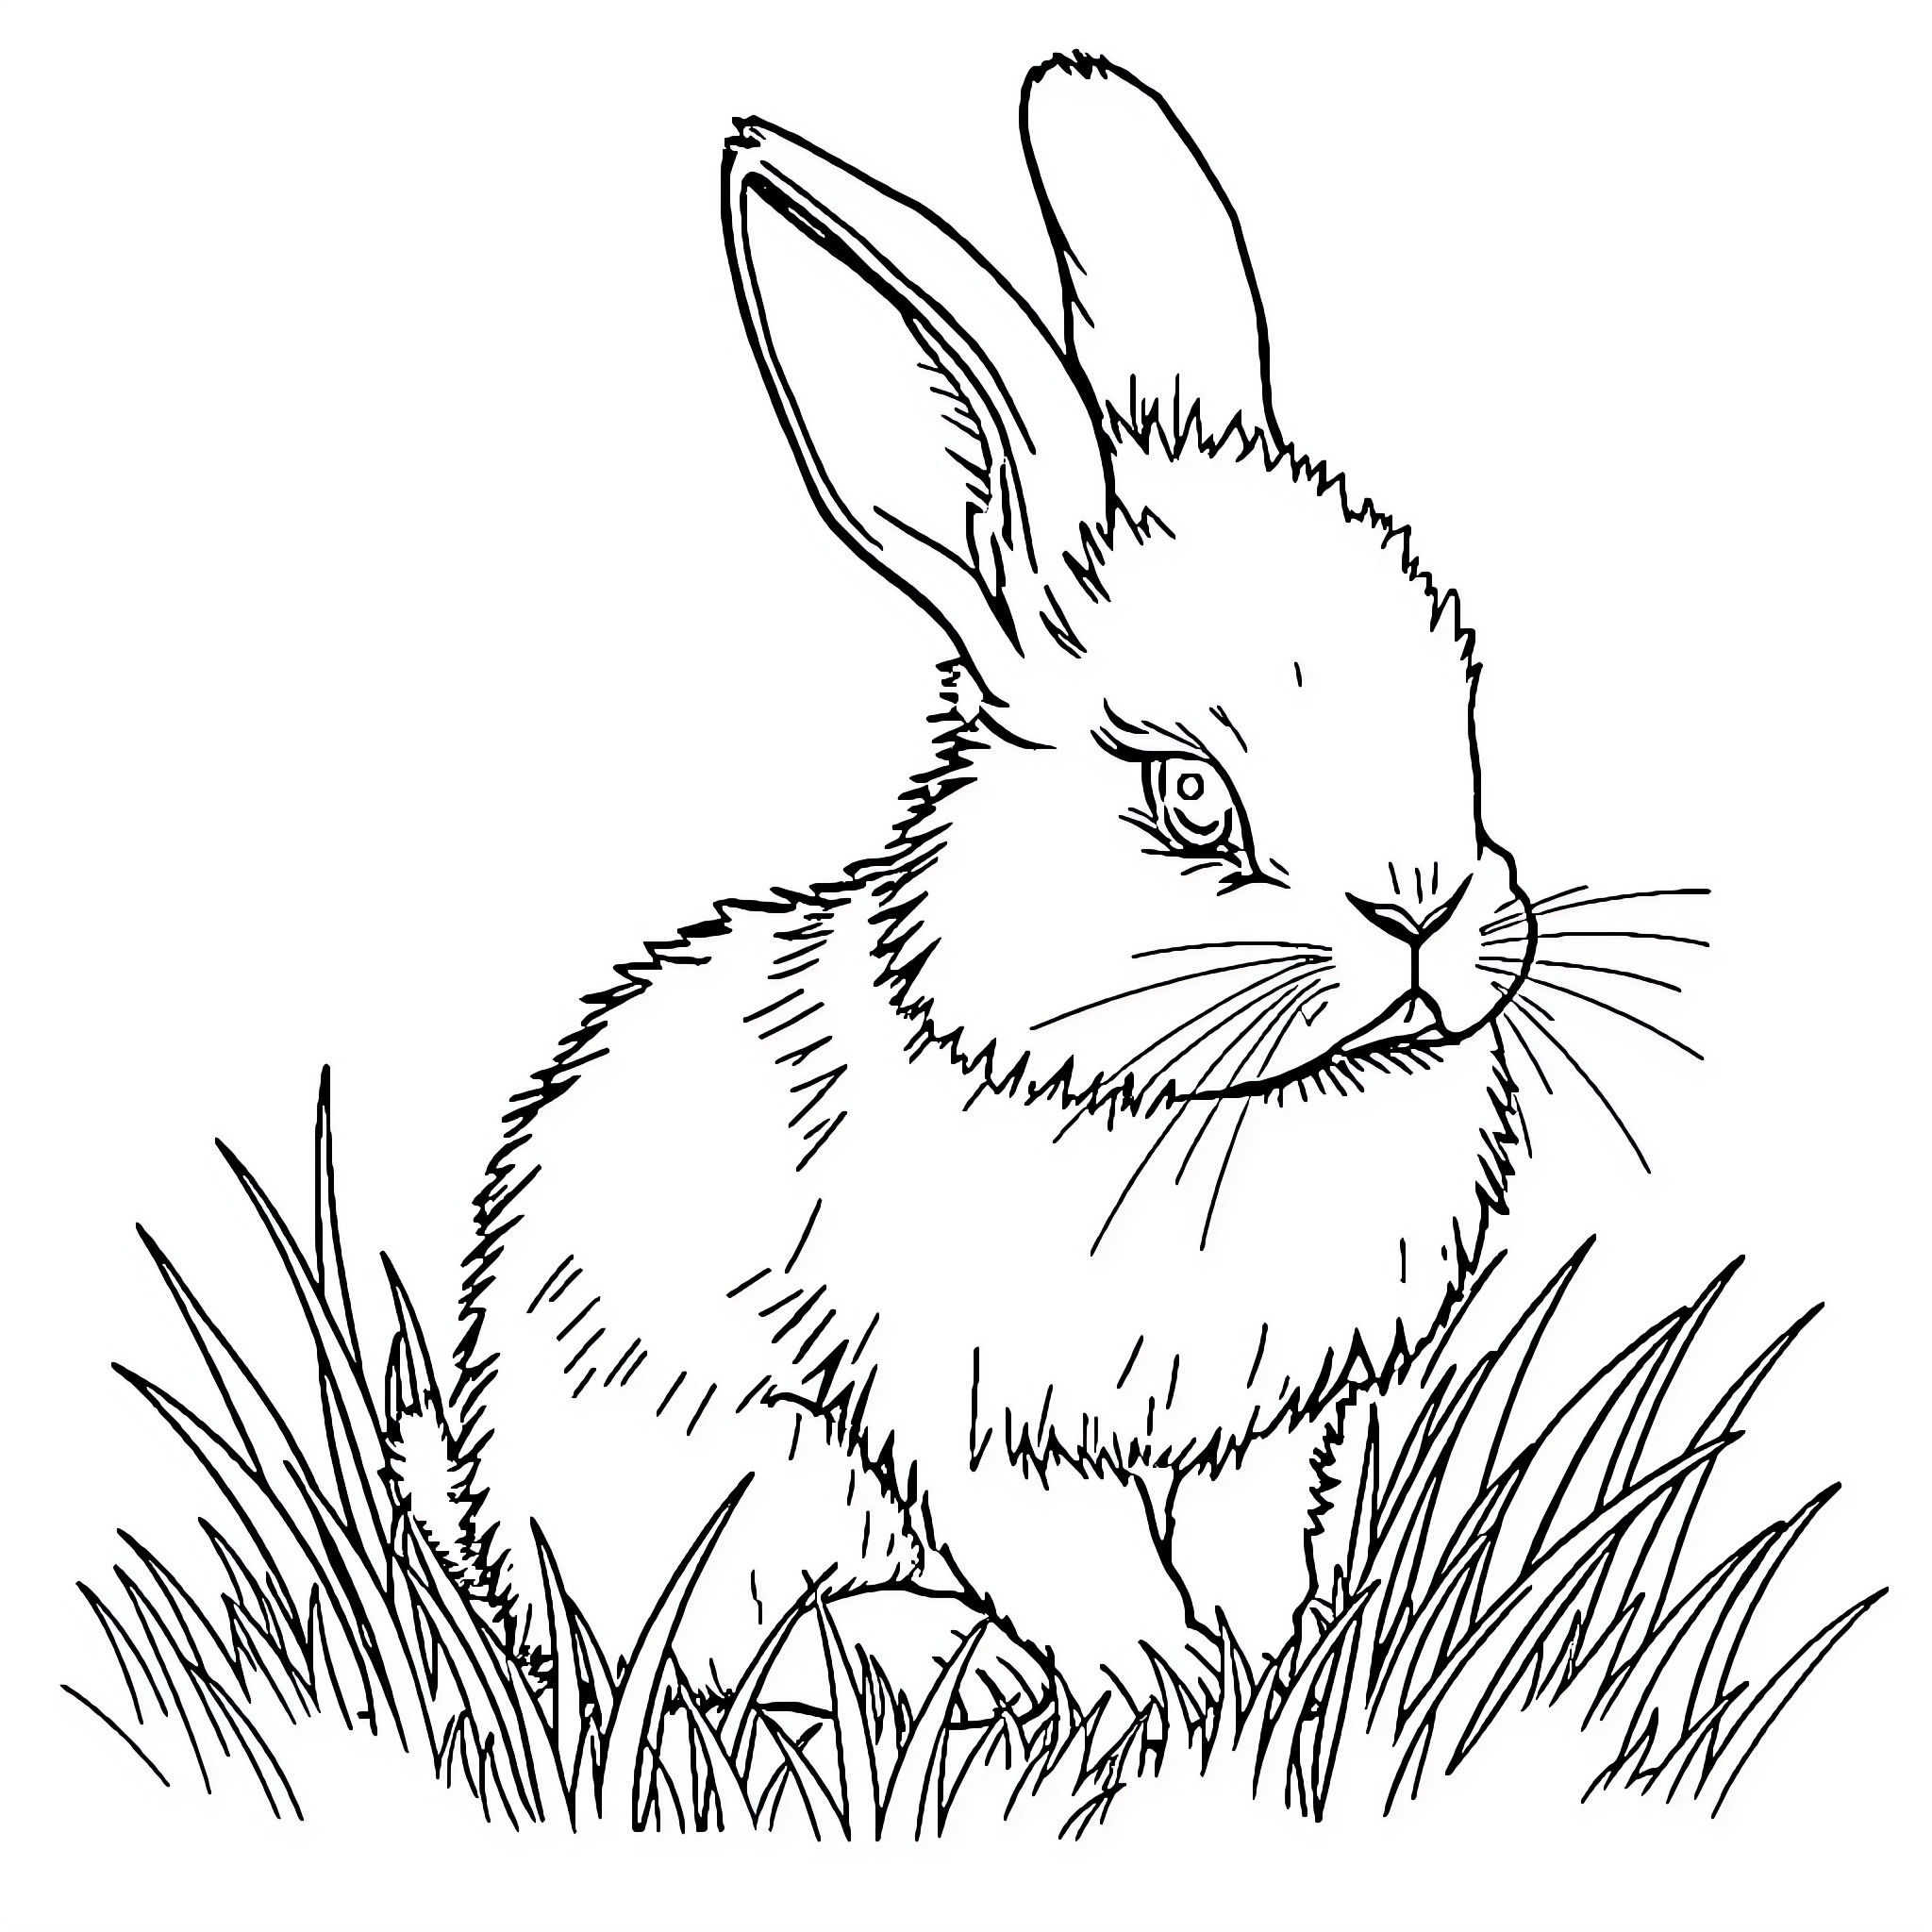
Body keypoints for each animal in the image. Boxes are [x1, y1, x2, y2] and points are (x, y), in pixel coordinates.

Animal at [396, 52, 1538, 1713]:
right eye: (1190, 795)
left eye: (1457, 704)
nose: (1430, 917)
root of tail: (487, 1520)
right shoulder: (987, 1430)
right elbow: (1092, 1579)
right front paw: (1168, 1691)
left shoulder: (1260, 1437)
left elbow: (1252, 1554)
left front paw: (1274, 1672)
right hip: (745, 1493)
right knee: (726, 1656)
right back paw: (941, 1664)